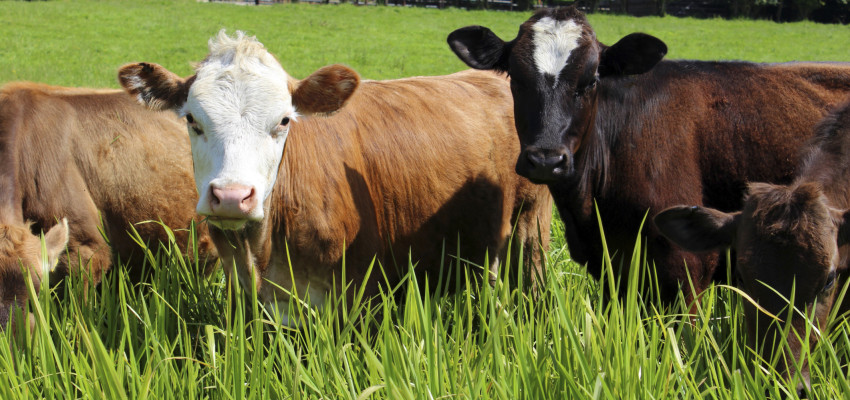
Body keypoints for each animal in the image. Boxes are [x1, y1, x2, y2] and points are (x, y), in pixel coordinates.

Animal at [121, 32, 556, 324]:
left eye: (284, 120)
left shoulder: (359, 300)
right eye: (192, 120)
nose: (231, 196)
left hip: (531, 227)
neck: (262, 252)